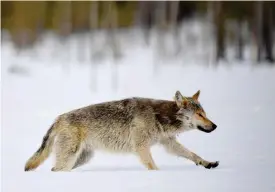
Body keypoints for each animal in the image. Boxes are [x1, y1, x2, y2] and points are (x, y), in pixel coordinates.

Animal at [25, 91, 220, 172]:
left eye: (205, 114)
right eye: (199, 114)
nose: (215, 126)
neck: (159, 116)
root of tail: (59, 118)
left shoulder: (168, 143)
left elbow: (192, 154)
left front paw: (207, 163)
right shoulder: (142, 148)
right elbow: (153, 167)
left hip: (82, 159)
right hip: (70, 158)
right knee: (55, 169)